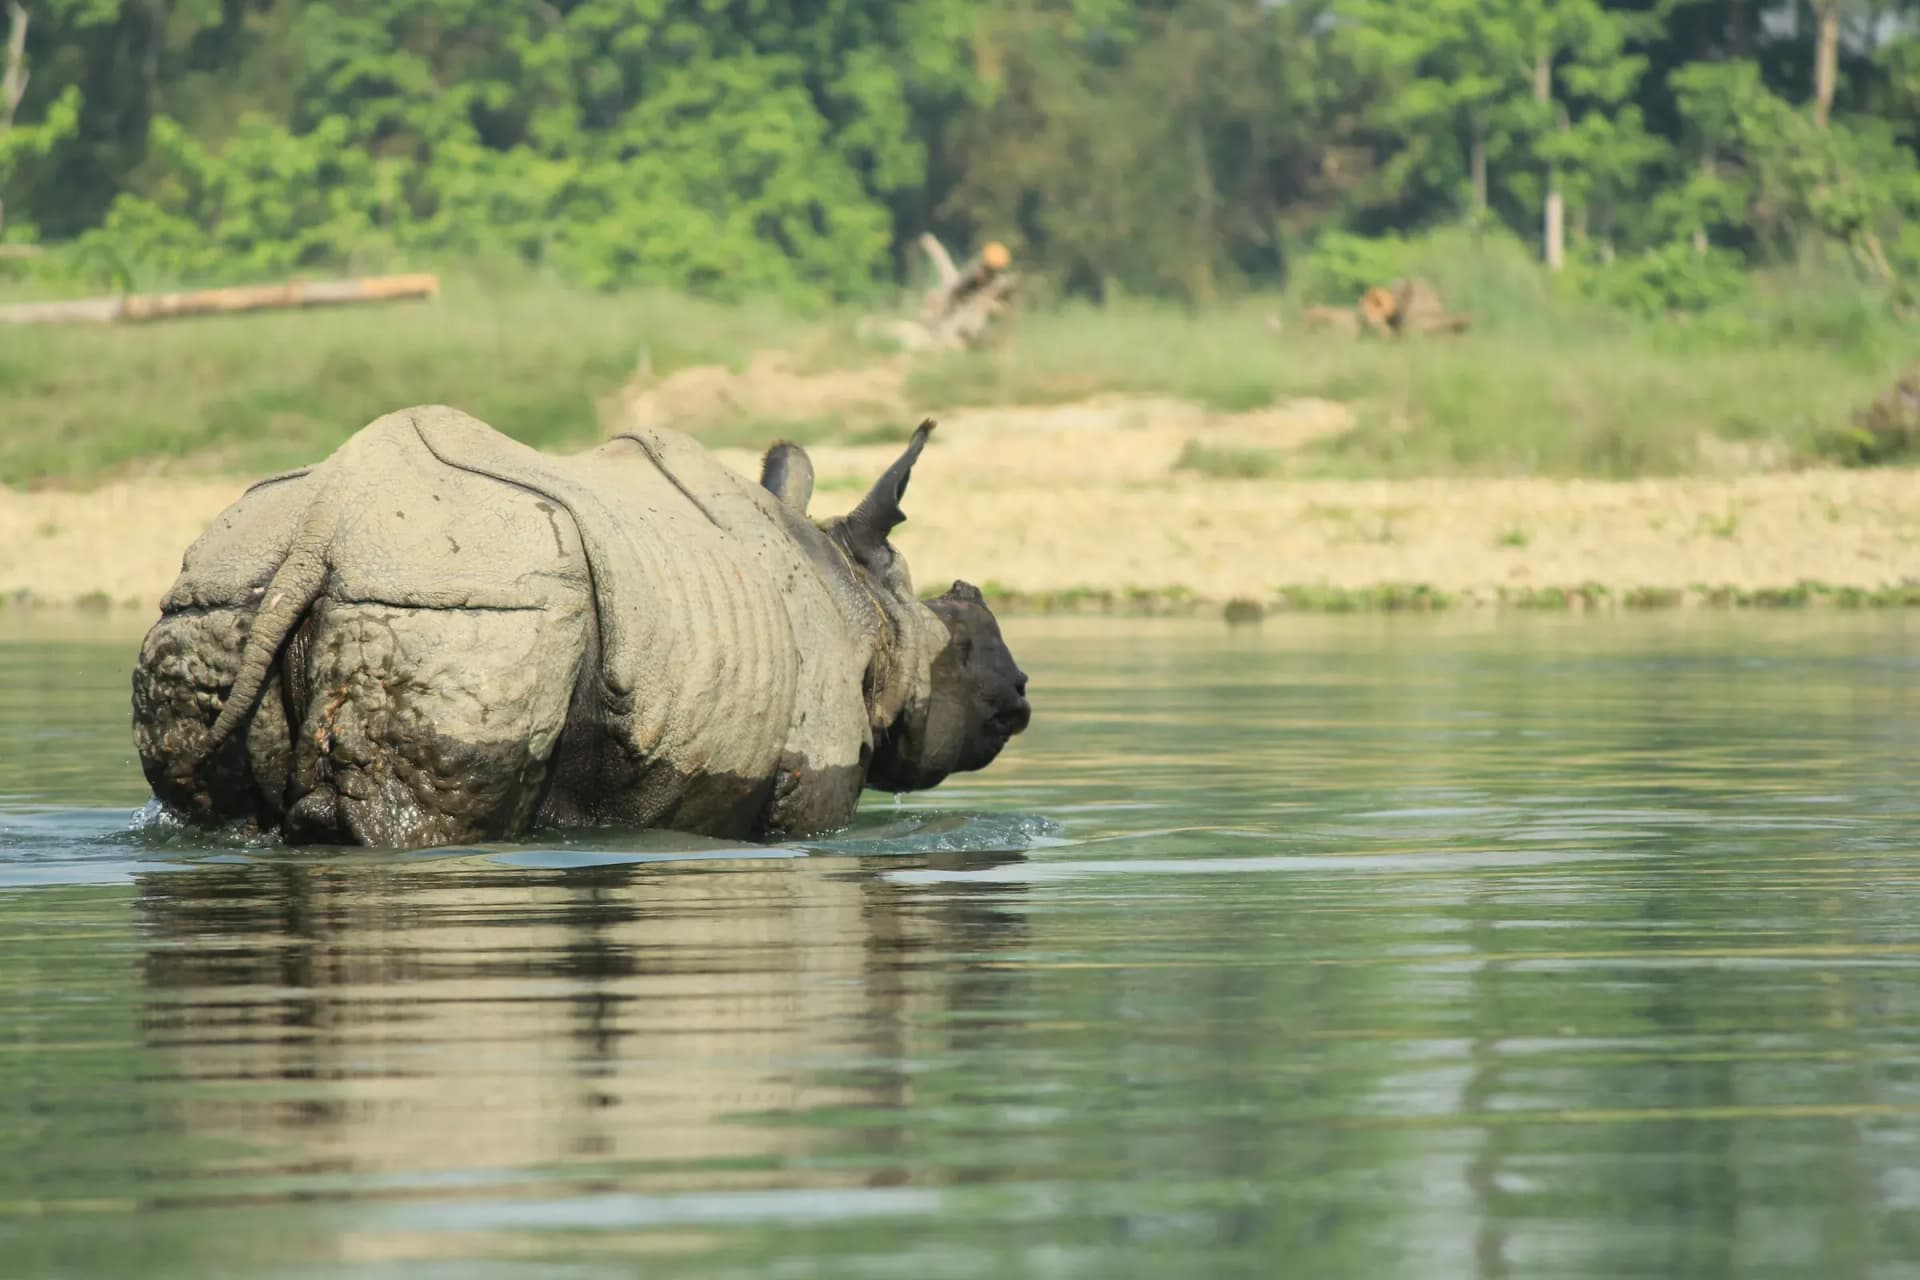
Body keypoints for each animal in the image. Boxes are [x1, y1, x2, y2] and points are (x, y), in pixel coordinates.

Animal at [131, 405, 1031, 848]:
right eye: (964, 643)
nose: (1019, 694)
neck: (868, 608)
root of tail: (325, 520)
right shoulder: (815, 773)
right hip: (470, 604)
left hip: (219, 596)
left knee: (215, 803)